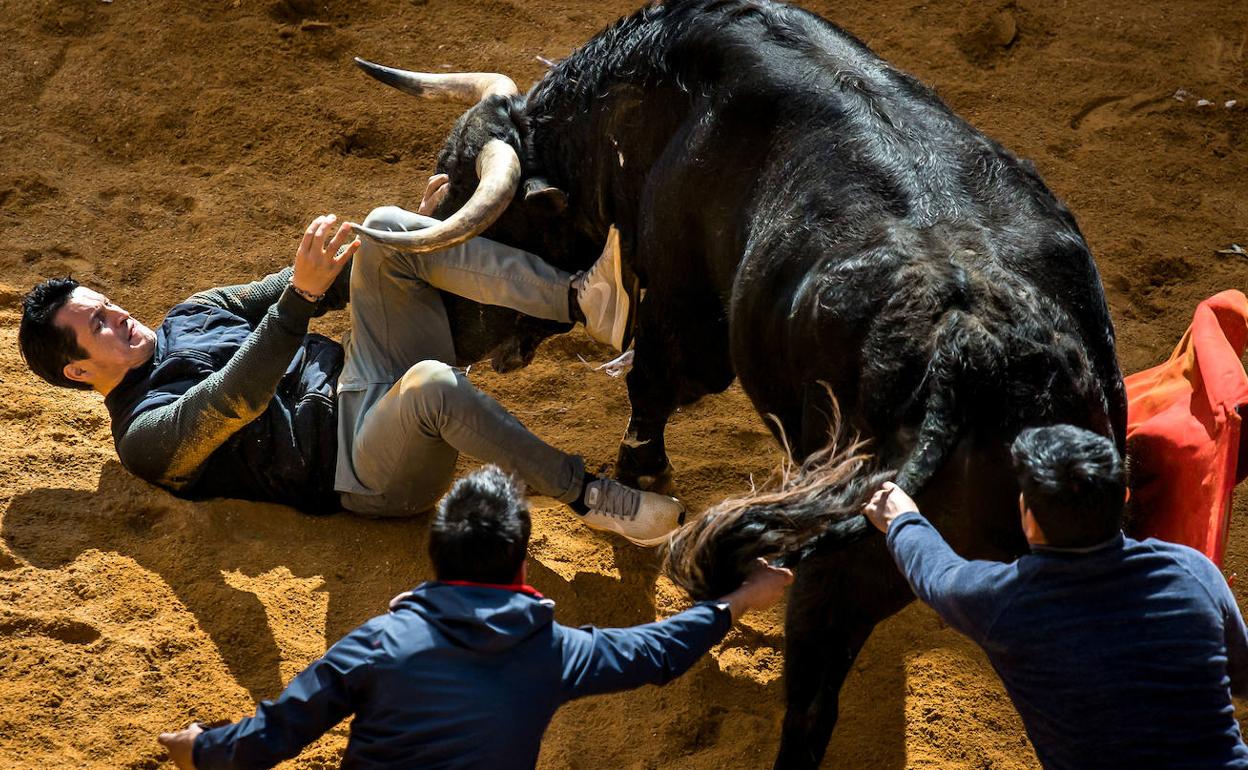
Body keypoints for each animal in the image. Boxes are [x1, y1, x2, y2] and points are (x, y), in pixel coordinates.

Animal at [356, 0, 1128, 763]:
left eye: (490, 221)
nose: (447, 331)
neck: (664, 102)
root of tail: (968, 348)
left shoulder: (683, 311)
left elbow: (651, 387)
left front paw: (641, 476)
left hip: (835, 575)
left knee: (810, 706)